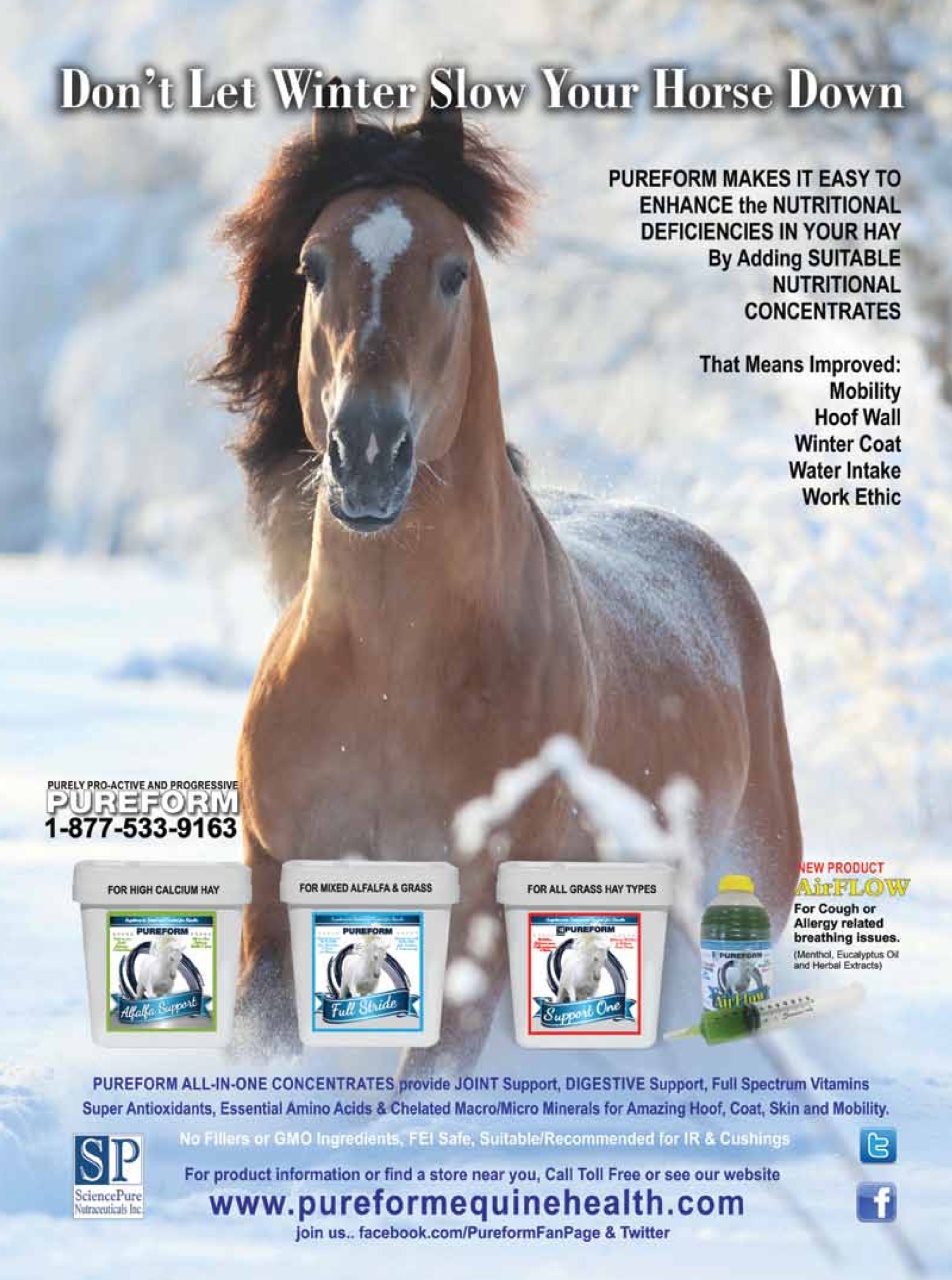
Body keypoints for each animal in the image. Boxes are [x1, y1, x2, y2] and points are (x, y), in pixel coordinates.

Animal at [207, 98, 802, 1066]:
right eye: (312, 266)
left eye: (454, 272)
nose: (367, 453)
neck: (389, 677)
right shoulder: (277, 890)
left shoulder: (483, 921)